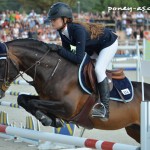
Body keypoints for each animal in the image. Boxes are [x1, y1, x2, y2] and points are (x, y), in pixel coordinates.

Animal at [0, 38, 146, 143]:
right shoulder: (46, 99)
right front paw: (52, 119)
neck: (54, 71)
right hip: (134, 130)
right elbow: (22, 99)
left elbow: (33, 103)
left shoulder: (67, 108)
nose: (0, 93)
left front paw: (47, 119)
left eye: (1, 63)